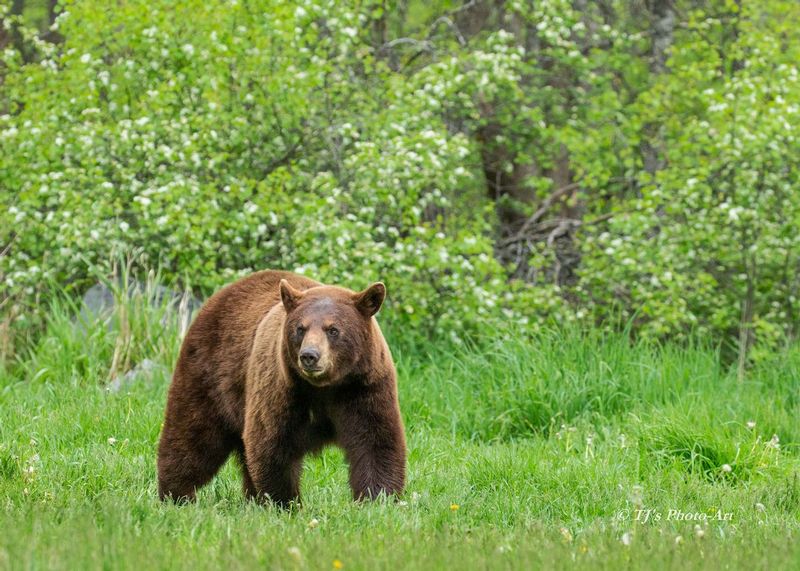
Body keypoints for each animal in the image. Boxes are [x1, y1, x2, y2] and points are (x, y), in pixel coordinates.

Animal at [156, 270, 406, 506]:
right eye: (301, 328)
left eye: (333, 329)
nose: (309, 356)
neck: (325, 387)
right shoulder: (283, 389)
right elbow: (272, 443)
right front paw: (286, 503)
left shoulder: (364, 388)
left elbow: (376, 442)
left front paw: (377, 499)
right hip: (211, 375)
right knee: (192, 435)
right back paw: (176, 495)